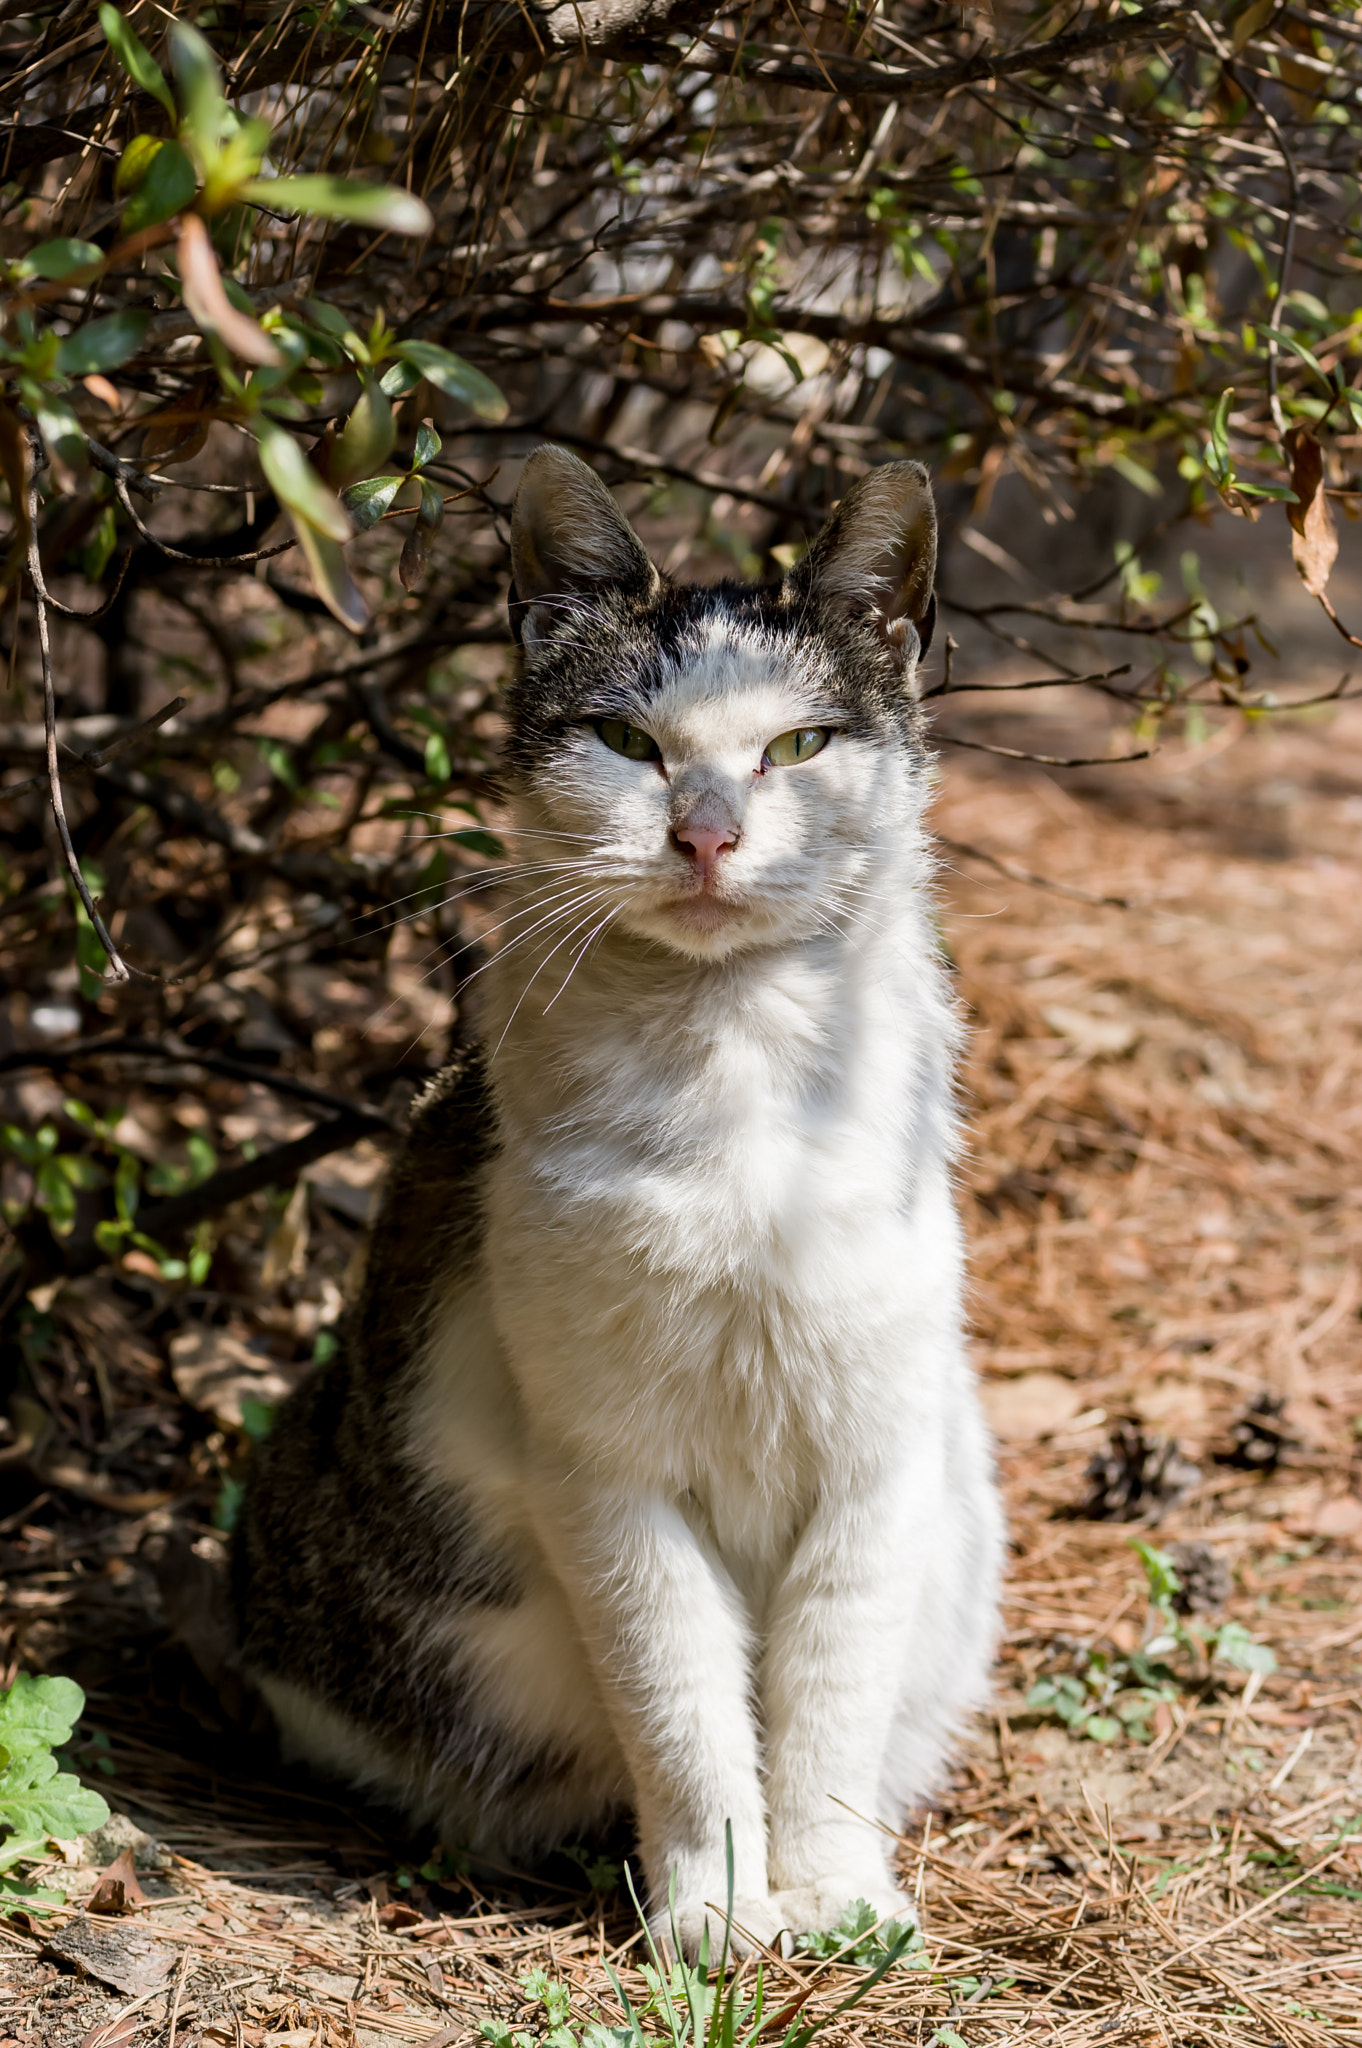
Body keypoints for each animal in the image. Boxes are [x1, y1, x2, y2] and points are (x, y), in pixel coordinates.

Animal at [231, 444, 999, 1949]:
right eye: (626, 743)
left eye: (799, 747)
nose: (705, 835)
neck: (734, 1062)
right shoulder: (602, 1471)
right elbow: (684, 1704)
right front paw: (716, 1909)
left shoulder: (877, 1456)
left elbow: (827, 1694)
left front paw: (834, 1895)